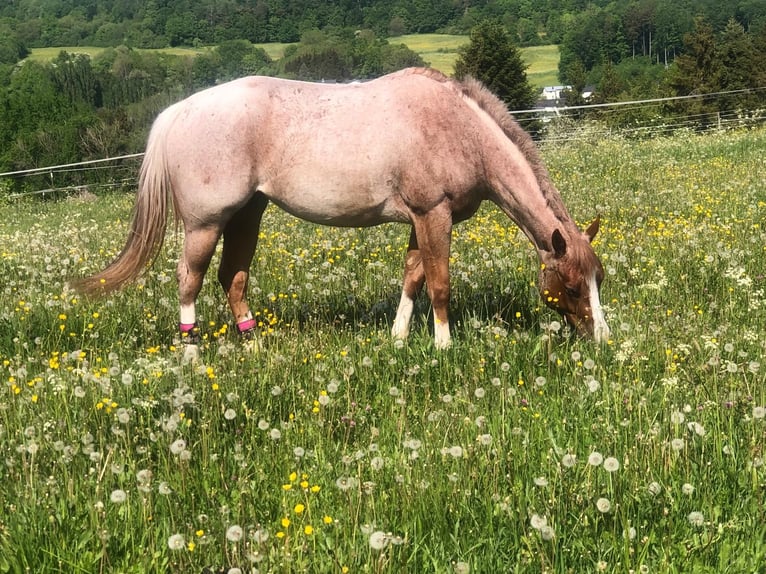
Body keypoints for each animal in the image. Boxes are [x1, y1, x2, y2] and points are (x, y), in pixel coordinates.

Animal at [73, 67, 612, 356]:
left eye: (597, 280)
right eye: (569, 286)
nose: (602, 339)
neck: (458, 128)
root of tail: (178, 112)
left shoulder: (420, 222)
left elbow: (412, 278)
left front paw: (398, 339)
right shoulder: (433, 215)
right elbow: (438, 284)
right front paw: (443, 347)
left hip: (249, 214)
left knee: (233, 277)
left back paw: (254, 344)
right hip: (206, 223)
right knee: (190, 278)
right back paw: (191, 353)